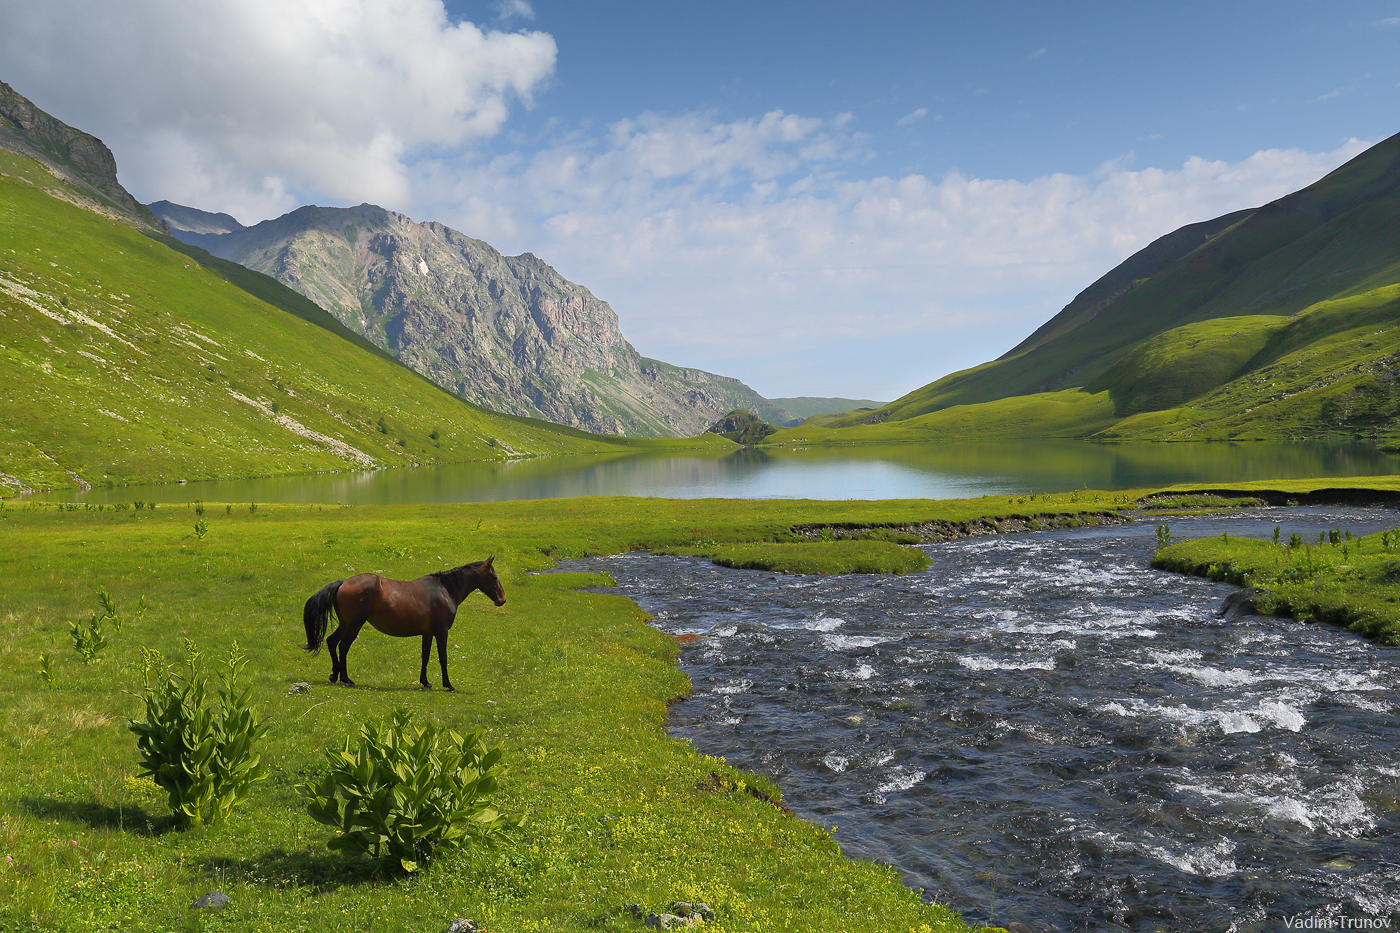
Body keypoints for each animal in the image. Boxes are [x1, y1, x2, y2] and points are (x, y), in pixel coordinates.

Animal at [303, 551, 506, 689]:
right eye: (494, 576)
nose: (502, 600)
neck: (445, 590)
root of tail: (343, 582)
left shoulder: (428, 633)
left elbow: (425, 656)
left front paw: (425, 682)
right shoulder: (441, 632)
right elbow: (443, 657)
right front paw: (448, 685)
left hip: (346, 624)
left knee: (331, 641)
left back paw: (334, 674)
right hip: (354, 625)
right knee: (343, 646)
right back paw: (346, 679)